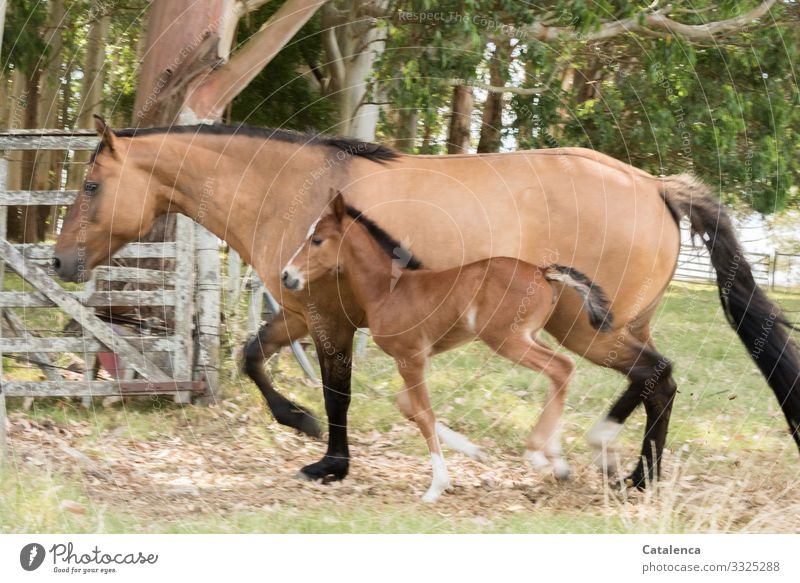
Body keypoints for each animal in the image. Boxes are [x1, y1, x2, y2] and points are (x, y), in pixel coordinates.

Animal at [282, 193, 612, 502]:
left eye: (317, 240)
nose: (287, 275)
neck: (387, 291)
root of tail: (542, 271)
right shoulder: (419, 359)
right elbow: (408, 407)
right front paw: (475, 451)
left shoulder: (410, 359)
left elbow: (424, 414)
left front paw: (437, 486)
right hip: (528, 336)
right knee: (561, 370)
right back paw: (556, 462)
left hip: (507, 340)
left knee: (561, 367)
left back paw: (538, 455)